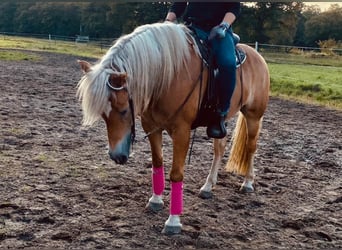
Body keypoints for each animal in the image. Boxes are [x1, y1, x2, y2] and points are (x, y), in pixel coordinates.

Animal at [77, 22, 270, 234]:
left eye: (123, 110)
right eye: (103, 115)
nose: (116, 156)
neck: (167, 77)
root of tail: (257, 56)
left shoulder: (182, 131)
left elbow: (176, 174)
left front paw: (173, 221)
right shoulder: (152, 127)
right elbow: (157, 163)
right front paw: (155, 200)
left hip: (253, 116)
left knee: (251, 148)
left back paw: (248, 183)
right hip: (220, 124)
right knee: (219, 149)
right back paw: (208, 186)